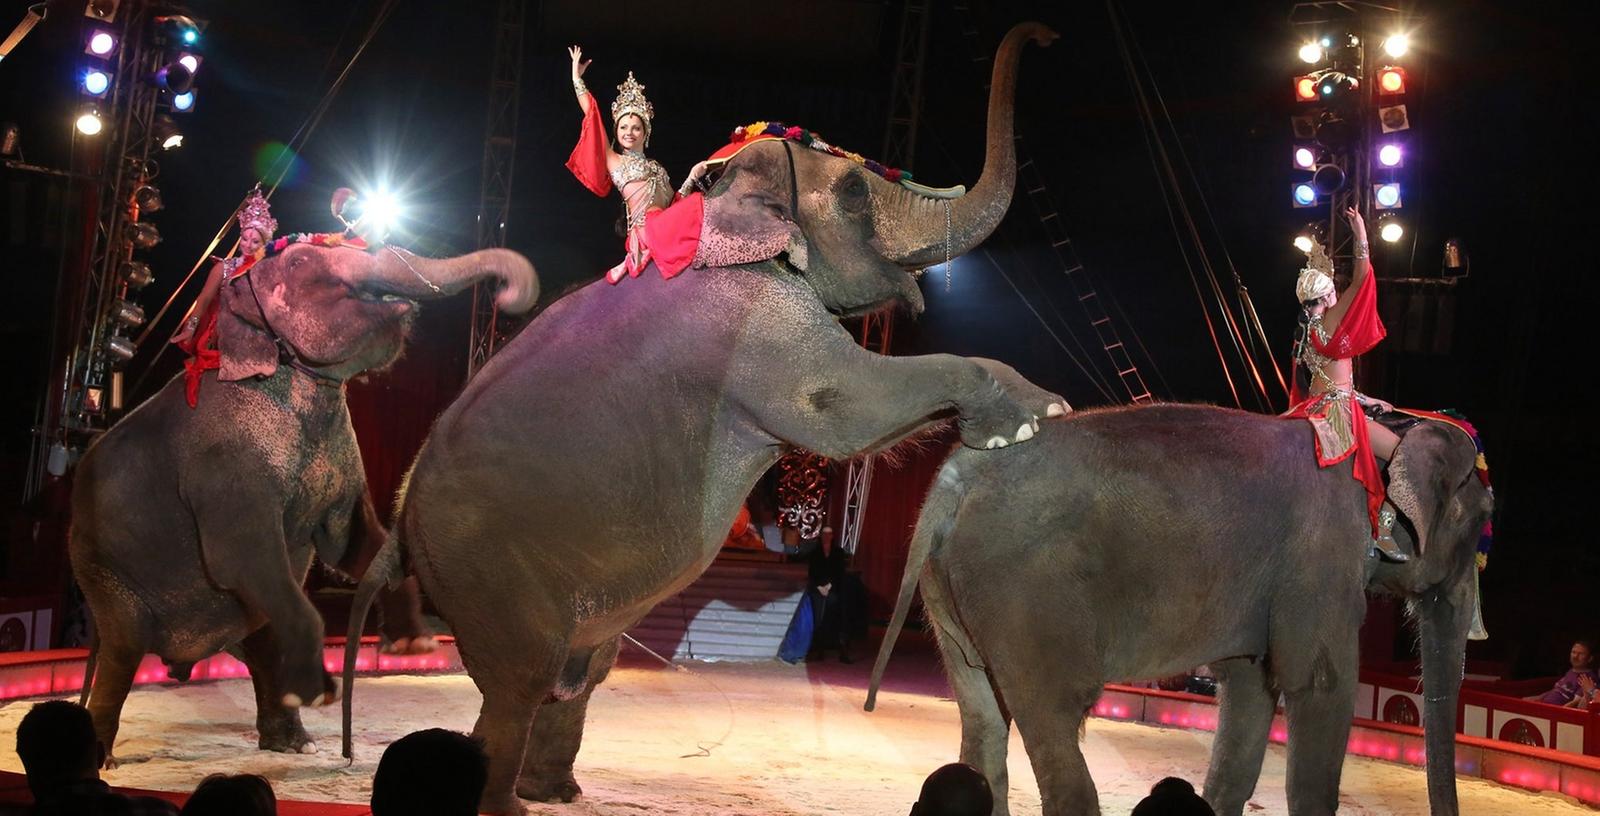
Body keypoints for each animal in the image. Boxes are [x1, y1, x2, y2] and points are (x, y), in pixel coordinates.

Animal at [70, 238, 537, 761]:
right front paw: (321, 693)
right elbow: (243, 555)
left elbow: (348, 544)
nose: (507, 297)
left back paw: (294, 743)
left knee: (258, 646)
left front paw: (411, 645)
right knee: (123, 653)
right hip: (104, 575)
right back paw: (105, 756)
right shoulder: (224, 466)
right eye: (299, 262)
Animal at [339, 22, 1062, 812]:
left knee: (578, 671)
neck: (719, 199)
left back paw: (557, 791)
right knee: (521, 685)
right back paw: (512, 801)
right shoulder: (754, 320)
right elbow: (841, 406)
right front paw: (1039, 413)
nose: (1046, 35)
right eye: (852, 193)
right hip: (484, 569)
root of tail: (399, 527)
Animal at [870, 406, 1491, 816]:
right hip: (1025, 593)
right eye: (1483, 522)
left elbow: (1250, 690)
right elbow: (1320, 685)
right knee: (1055, 719)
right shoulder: (1322, 563)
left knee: (981, 718)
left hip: (950, 591)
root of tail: (951, 485)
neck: (1383, 437)